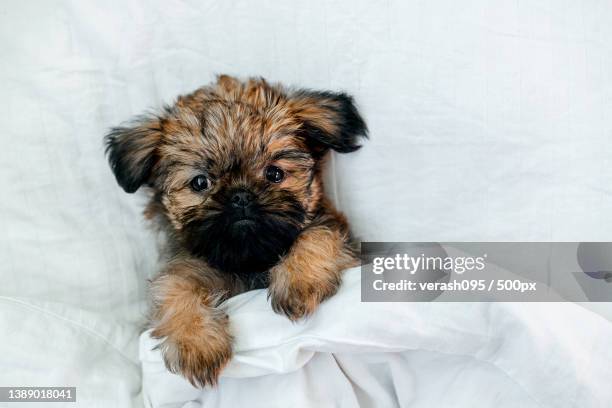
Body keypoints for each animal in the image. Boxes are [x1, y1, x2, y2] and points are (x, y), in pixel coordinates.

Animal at [104, 75, 368, 386]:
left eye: (274, 174)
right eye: (200, 182)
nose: (241, 195)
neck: (249, 262)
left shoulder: (340, 237)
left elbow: (317, 234)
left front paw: (300, 280)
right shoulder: (188, 266)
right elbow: (171, 285)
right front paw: (196, 342)